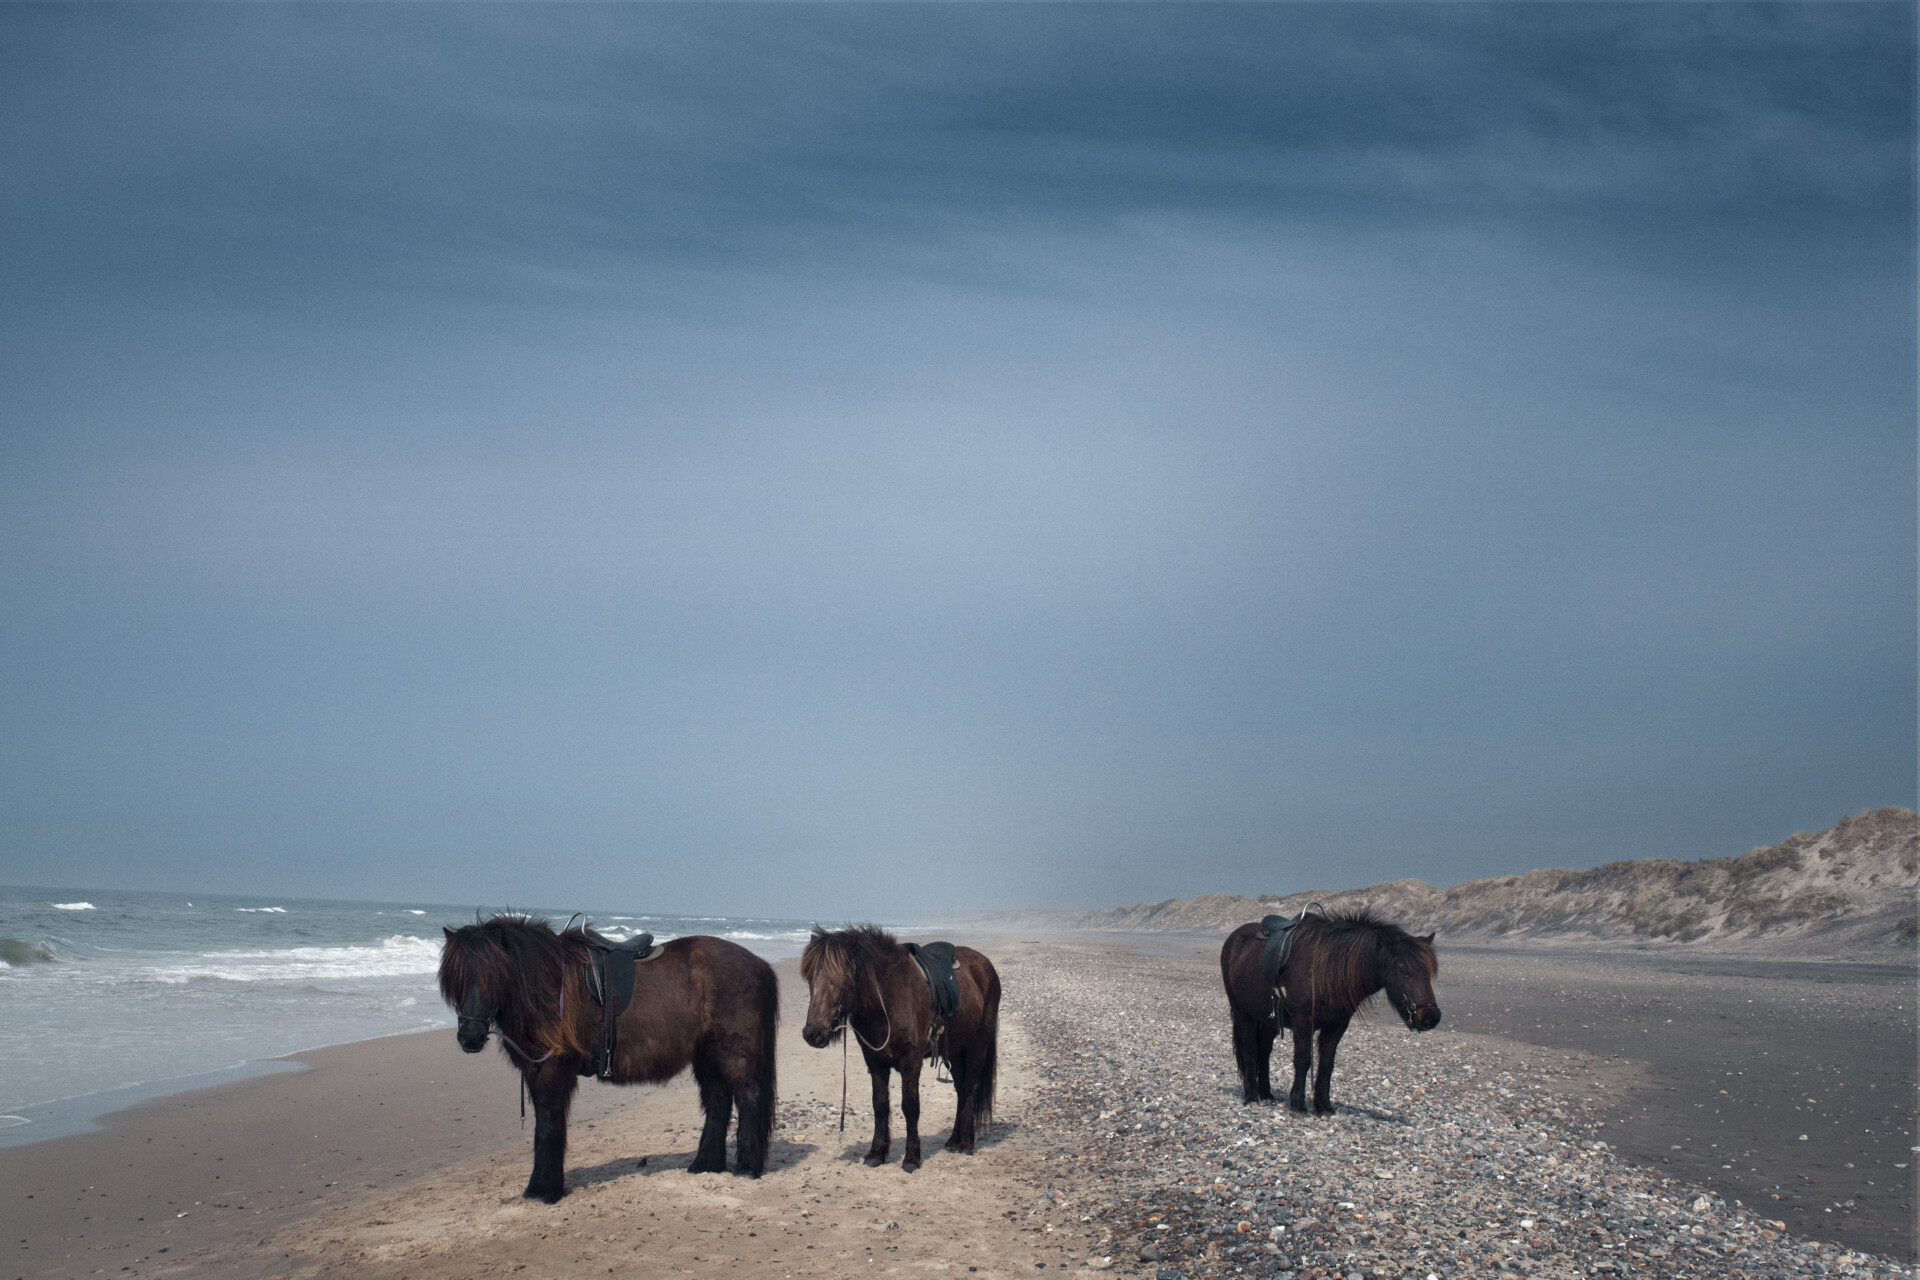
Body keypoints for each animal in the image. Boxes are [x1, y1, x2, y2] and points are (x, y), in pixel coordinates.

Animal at [439, 921, 775, 1205]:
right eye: (456, 979)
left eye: (493, 975)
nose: (469, 1037)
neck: (549, 984)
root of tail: (759, 964)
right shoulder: (537, 1069)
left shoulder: (552, 1069)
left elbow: (547, 1125)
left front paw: (543, 1190)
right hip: (707, 1056)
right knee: (718, 1102)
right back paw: (705, 1165)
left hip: (734, 1052)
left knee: (749, 1098)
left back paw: (747, 1167)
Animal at [798, 924, 1006, 1174]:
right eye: (810, 979)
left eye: (839, 978)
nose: (813, 1034)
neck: (886, 999)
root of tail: (985, 965)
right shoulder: (875, 1063)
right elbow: (880, 1105)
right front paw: (876, 1153)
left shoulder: (911, 1063)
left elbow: (910, 1107)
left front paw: (911, 1157)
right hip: (955, 1052)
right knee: (961, 1090)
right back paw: (954, 1140)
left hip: (977, 1046)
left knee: (971, 1087)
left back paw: (966, 1143)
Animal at [1221, 909, 1436, 1113]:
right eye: (1404, 970)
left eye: (1428, 973)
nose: (1431, 1017)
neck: (1327, 971)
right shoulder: (1303, 1023)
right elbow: (1302, 1060)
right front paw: (1298, 1105)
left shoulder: (1336, 1026)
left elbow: (1326, 1064)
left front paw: (1324, 1106)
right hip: (1243, 1013)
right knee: (1250, 1049)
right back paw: (1251, 1096)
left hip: (1269, 1020)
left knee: (1264, 1051)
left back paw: (1266, 1093)